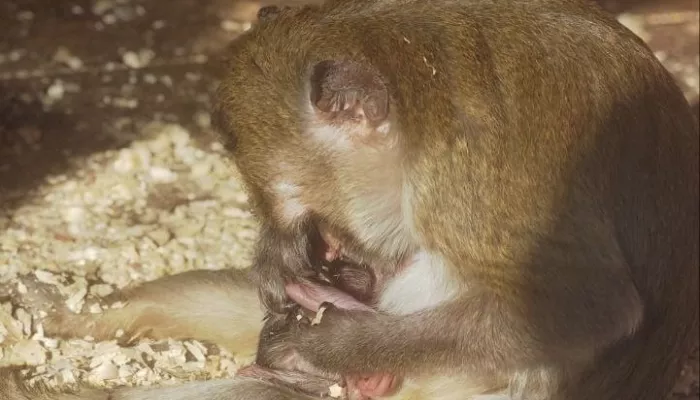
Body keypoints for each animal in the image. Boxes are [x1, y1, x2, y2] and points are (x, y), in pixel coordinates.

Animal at [211, 0, 696, 400]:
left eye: (317, 215)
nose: (333, 246)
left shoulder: (471, 186)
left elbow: (592, 305)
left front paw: (338, 342)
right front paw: (281, 258)